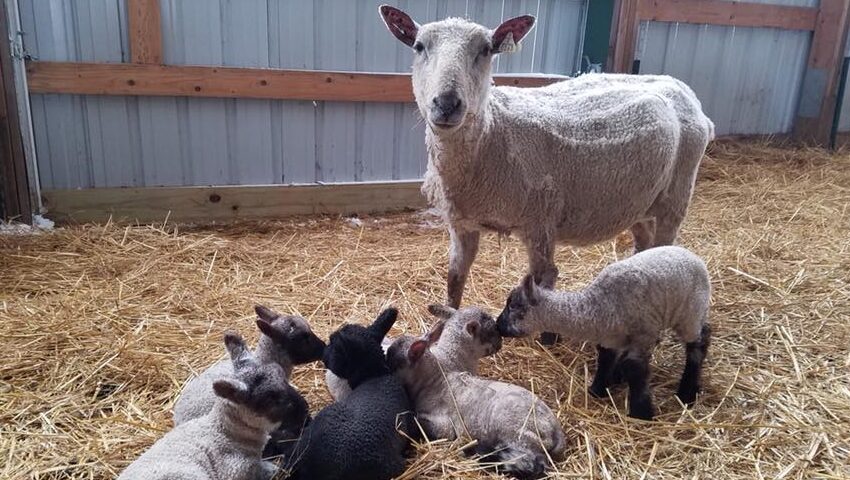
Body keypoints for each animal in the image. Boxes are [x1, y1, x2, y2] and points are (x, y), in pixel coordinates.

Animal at [378, 6, 715, 347]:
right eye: (419, 46)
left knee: (666, 242)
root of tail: (684, 90)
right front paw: (437, 331)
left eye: (486, 50)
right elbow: (454, 279)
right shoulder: (462, 223)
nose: (446, 104)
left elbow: (544, 277)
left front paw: (548, 333)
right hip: (641, 201)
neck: (493, 131)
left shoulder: (540, 219)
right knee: (644, 243)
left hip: (677, 194)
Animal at [387, 305, 565, 479]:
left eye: (391, 363)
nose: (500, 344)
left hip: (520, 434)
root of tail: (556, 430)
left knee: (533, 463)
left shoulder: (446, 426)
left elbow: (420, 421)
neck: (435, 377)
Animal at [496, 245, 712, 420]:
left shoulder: (643, 335)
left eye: (514, 306)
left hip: (690, 312)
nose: (498, 326)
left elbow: (635, 368)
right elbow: (606, 358)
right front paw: (598, 390)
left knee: (699, 340)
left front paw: (641, 414)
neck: (598, 305)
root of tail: (693, 256)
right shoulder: (611, 337)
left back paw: (687, 393)